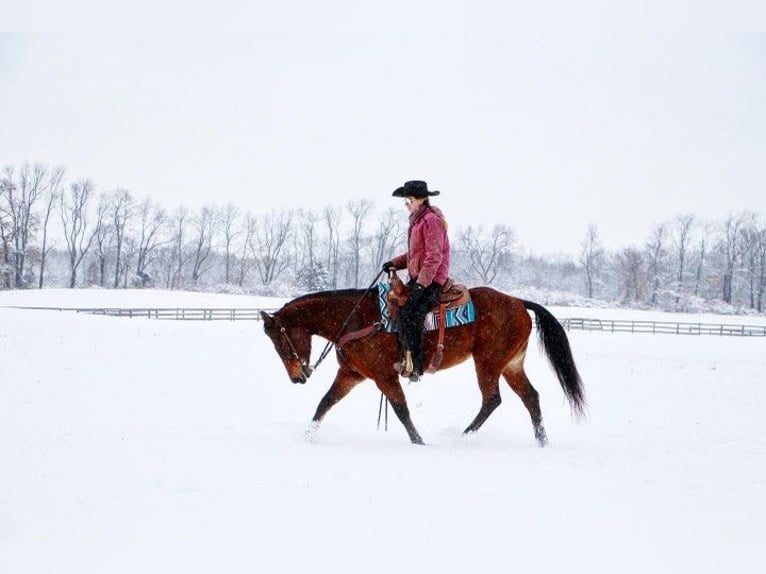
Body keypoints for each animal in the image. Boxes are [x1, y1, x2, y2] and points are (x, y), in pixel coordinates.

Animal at [260, 286, 588, 448]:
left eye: (280, 342)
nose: (298, 377)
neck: (355, 319)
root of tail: (519, 302)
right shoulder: (351, 374)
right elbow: (325, 403)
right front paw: (307, 437)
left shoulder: (384, 376)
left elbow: (401, 410)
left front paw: (418, 442)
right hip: (512, 365)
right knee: (530, 397)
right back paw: (542, 441)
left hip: (488, 363)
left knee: (492, 400)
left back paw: (462, 438)